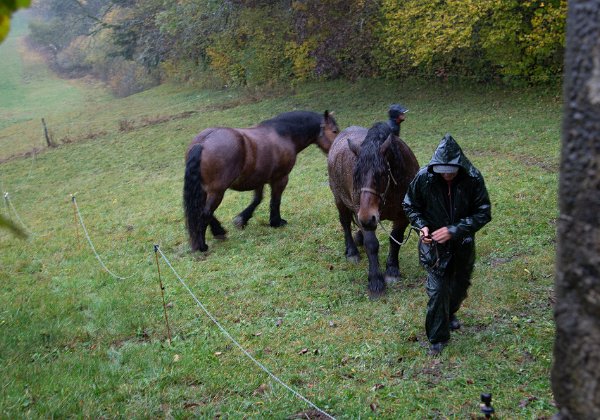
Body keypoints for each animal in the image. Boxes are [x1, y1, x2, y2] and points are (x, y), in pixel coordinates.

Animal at [183, 110, 340, 251]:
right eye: (334, 131)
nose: (336, 150)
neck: (284, 135)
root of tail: (203, 142)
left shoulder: (259, 179)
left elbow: (257, 200)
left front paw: (242, 219)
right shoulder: (280, 178)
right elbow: (275, 201)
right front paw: (276, 221)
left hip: (205, 190)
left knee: (203, 211)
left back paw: (218, 231)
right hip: (217, 191)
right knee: (205, 213)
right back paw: (202, 245)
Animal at [328, 121, 418, 296]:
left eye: (382, 174)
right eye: (356, 175)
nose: (366, 218)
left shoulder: (402, 216)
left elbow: (395, 239)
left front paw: (392, 270)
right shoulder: (363, 216)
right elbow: (371, 244)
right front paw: (376, 280)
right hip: (340, 201)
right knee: (345, 223)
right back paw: (352, 251)